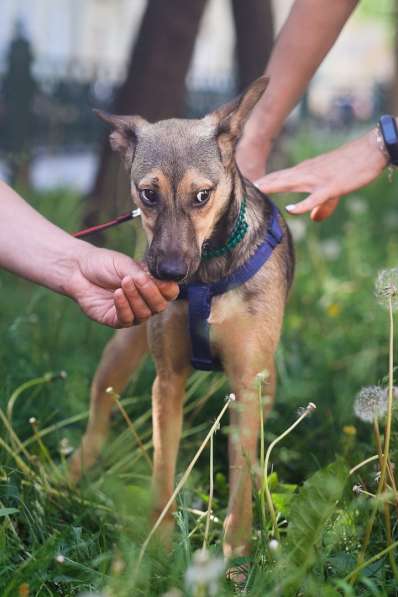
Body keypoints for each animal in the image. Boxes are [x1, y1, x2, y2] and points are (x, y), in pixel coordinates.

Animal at [68, 77, 294, 556]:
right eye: (148, 193)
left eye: (202, 195)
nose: (170, 272)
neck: (208, 275)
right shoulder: (167, 381)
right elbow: (162, 468)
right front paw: (159, 543)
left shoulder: (245, 386)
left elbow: (239, 485)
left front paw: (236, 555)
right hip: (120, 351)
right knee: (98, 415)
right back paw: (68, 475)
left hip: (265, 383)